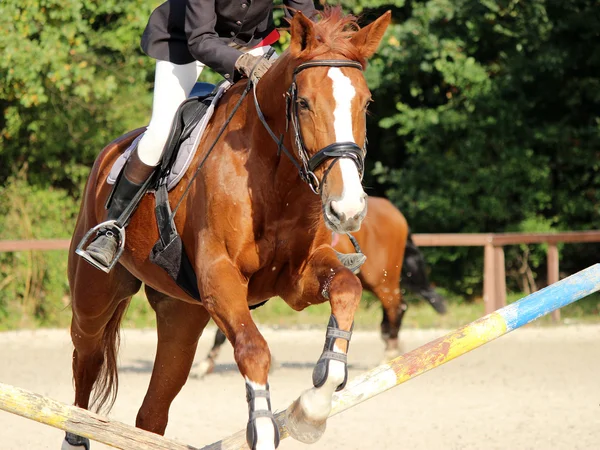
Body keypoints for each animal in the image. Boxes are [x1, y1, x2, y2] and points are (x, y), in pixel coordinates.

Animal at [67, 7, 394, 450]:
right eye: (304, 103)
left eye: (366, 103)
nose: (348, 210)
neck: (274, 179)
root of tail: (110, 152)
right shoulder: (220, 275)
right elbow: (253, 348)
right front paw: (264, 426)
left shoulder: (297, 278)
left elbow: (347, 289)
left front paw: (314, 407)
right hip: (94, 296)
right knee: (86, 360)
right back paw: (75, 431)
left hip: (182, 315)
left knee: (152, 411)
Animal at [199, 197, 448, 376]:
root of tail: (395, 213)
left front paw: (205, 364)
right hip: (371, 280)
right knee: (396, 307)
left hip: (381, 280)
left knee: (396, 306)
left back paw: (390, 351)